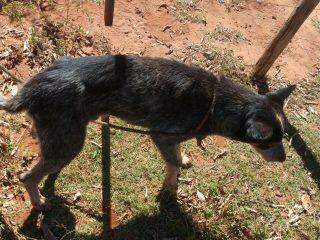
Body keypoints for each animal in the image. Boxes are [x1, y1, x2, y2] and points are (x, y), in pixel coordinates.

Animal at [0, 54, 296, 210]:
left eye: (283, 137)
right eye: (269, 141)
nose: (284, 159)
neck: (214, 101)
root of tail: (28, 90)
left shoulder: (172, 138)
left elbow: (177, 156)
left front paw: (183, 160)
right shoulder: (160, 135)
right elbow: (172, 165)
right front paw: (170, 190)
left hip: (63, 137)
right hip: (70, 143)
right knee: (27, 176)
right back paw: (39, 202)